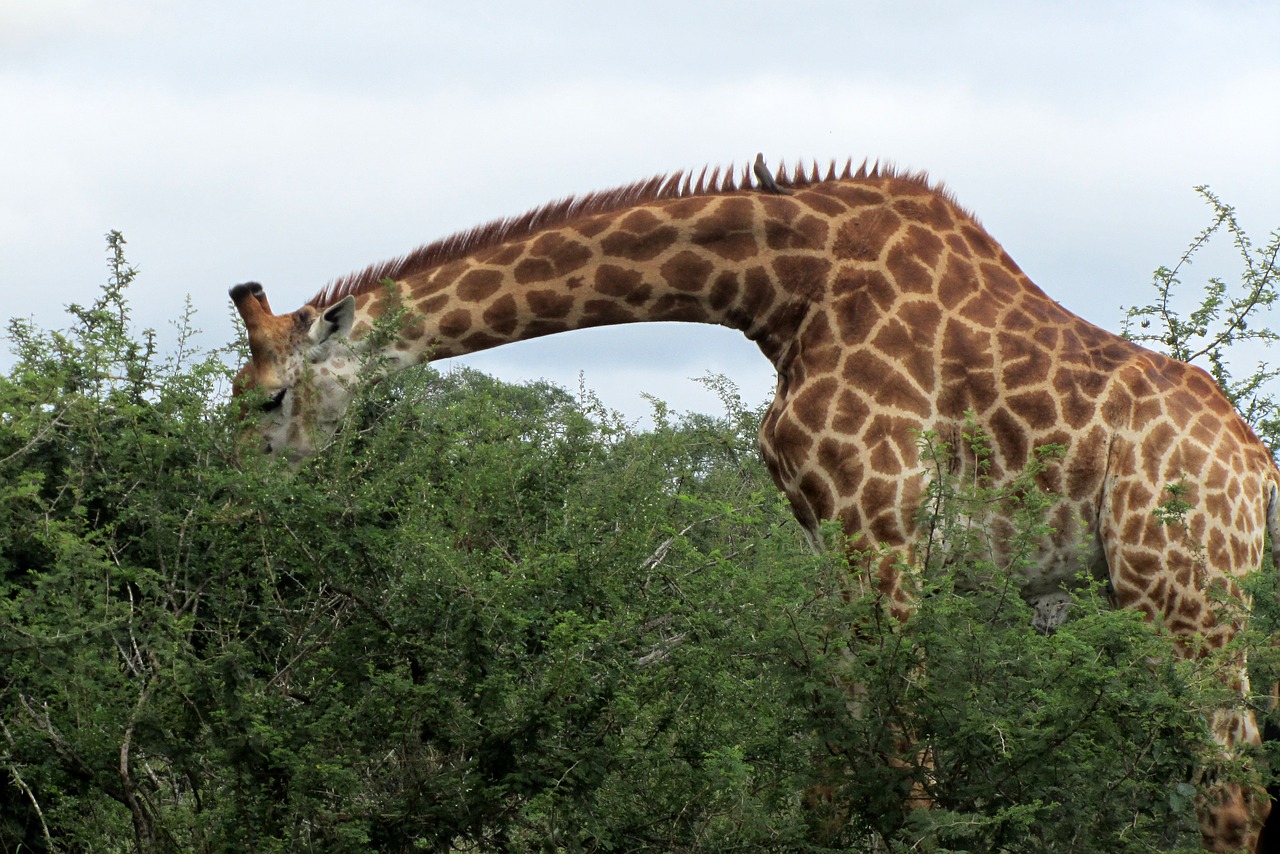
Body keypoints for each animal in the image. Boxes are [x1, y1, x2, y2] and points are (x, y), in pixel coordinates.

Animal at [230, 156, 1280, 850]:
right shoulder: (833, 545)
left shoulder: (884, 530)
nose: (233, 503)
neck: (781, 289)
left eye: (266, 398)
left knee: (1230, 790)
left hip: (1179, 590)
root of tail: (1259, 473)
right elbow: (830, 780)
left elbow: (913, 777)